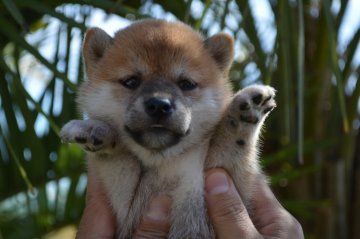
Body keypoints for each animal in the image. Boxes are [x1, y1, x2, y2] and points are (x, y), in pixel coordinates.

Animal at [60, 18, 278, 237]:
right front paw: (96, 131)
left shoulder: (224, 176)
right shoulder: (123, 209)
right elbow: (119, 159)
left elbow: (231, 143)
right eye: (131, 81)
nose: (159, 105)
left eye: (186, 84)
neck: (166, 164)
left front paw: (243, 114)